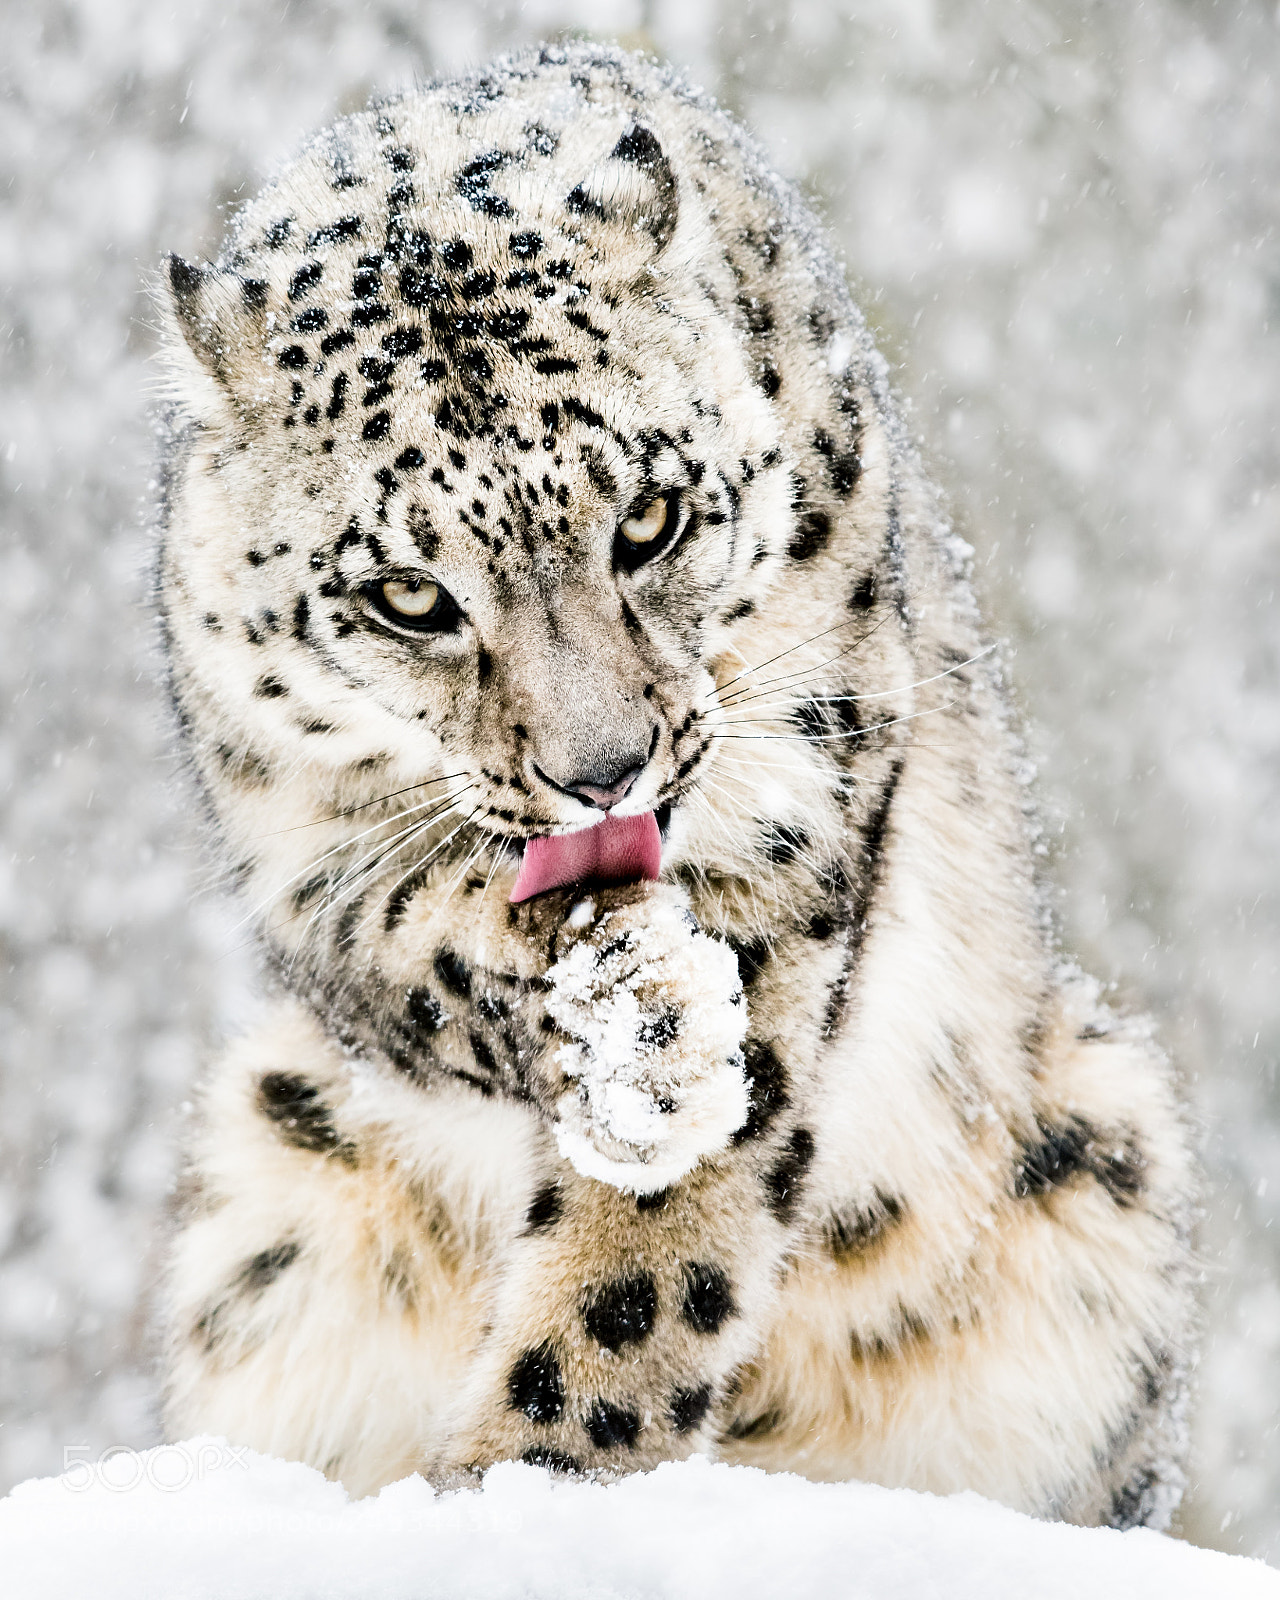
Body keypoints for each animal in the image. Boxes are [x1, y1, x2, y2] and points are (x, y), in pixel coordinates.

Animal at [156, 41, 1197, 1527]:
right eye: (407, 593)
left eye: (649, 518)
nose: (601, 772)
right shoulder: (297, 844)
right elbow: (417, 947)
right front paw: (630, 1022)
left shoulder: (803, 772)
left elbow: (654, 1247)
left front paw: (537, 1471)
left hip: (1102, 1148)